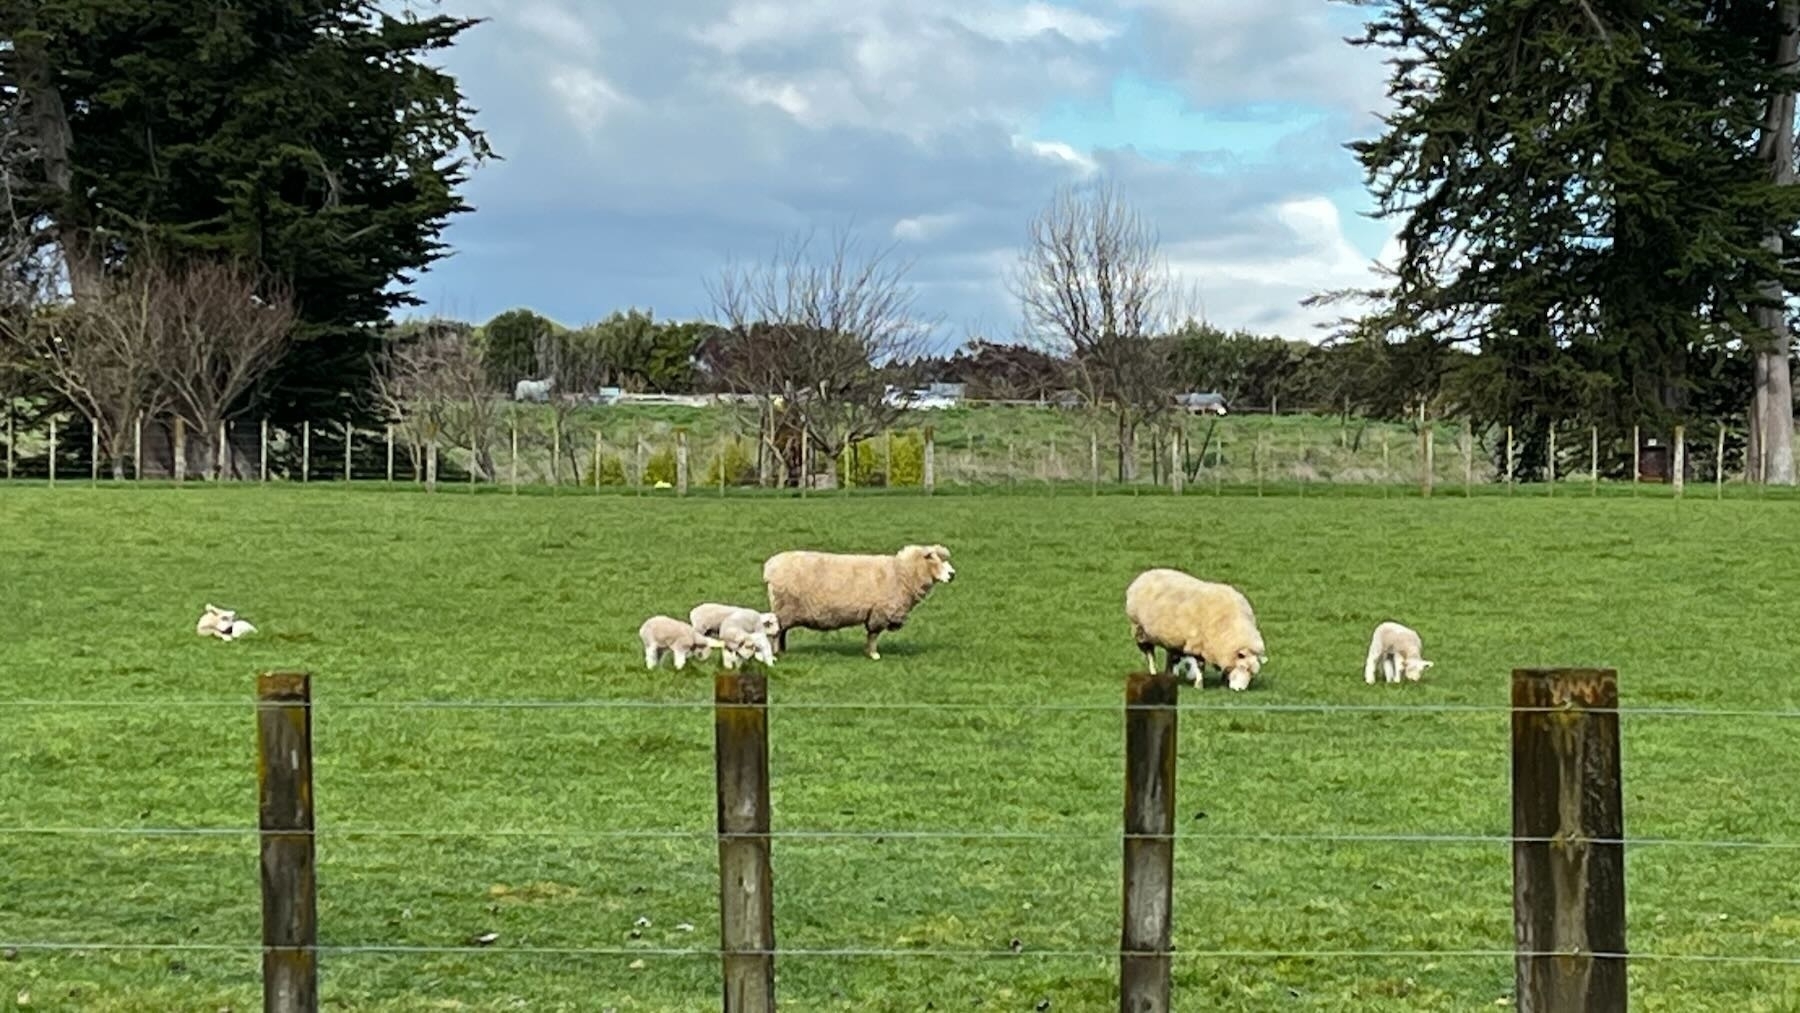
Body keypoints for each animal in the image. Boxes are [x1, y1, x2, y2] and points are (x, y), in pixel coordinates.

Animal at [759, 543, 957, 662]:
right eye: (933, 559)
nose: (952, 574)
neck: (901, 573)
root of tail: (770, 567)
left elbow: (871, 634)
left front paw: (869, 652)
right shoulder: (879, 612)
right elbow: (873, 635)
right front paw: (874, 654)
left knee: (782, 632)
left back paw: (782, 651)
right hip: (784, 607)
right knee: (776, 633)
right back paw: (775, 654)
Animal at [1123, 568, 1267, 694]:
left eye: (1252, 673)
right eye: (1243, 667)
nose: (1240, 690)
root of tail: (1146, 574)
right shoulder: (1199, 644)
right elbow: (1200, 665)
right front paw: (1199, 685)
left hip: (1173, 638)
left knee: (1172, 656)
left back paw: (1171, 675)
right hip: (1140, 630)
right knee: (1150, 655)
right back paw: (1154, 673)